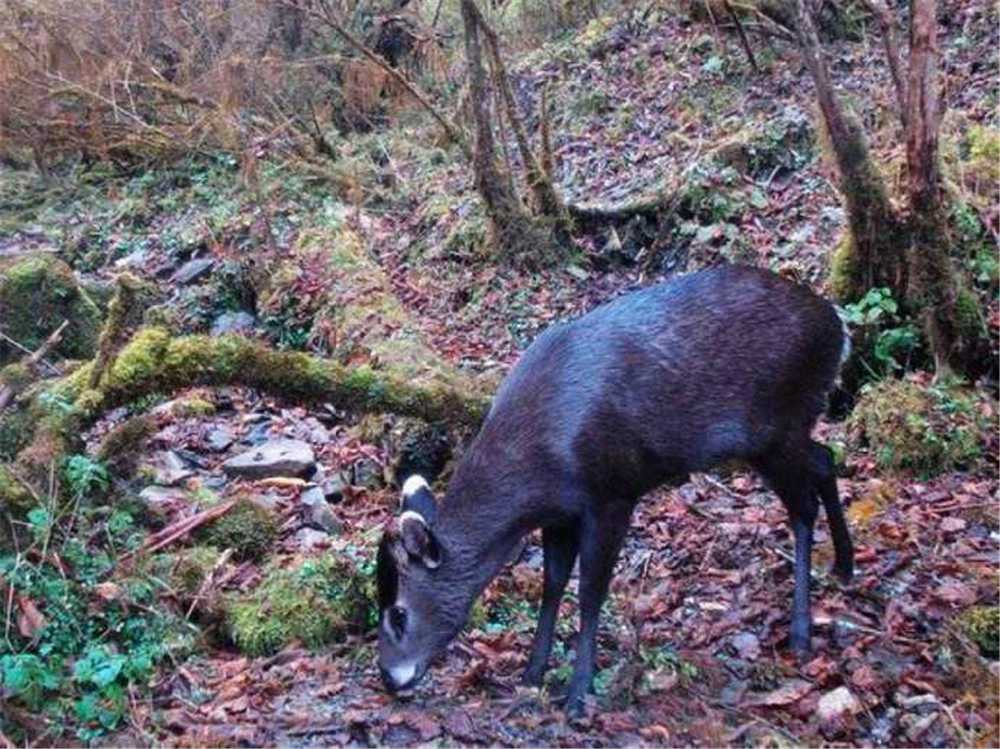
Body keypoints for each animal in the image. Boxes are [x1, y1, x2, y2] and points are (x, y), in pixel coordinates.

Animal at [374, 262, 852, 712]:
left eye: (399, 612)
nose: (389, 678)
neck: (541, 468)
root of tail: (838, 327)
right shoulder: (560, 513)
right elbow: (553, 582)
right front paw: (532, 673)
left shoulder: (612, 492)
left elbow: (591, 590)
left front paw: (578, 693)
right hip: (785, 432)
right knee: (825, 458)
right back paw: (844, 566)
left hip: (777, 425)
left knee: (803, 505)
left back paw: (802, 631)